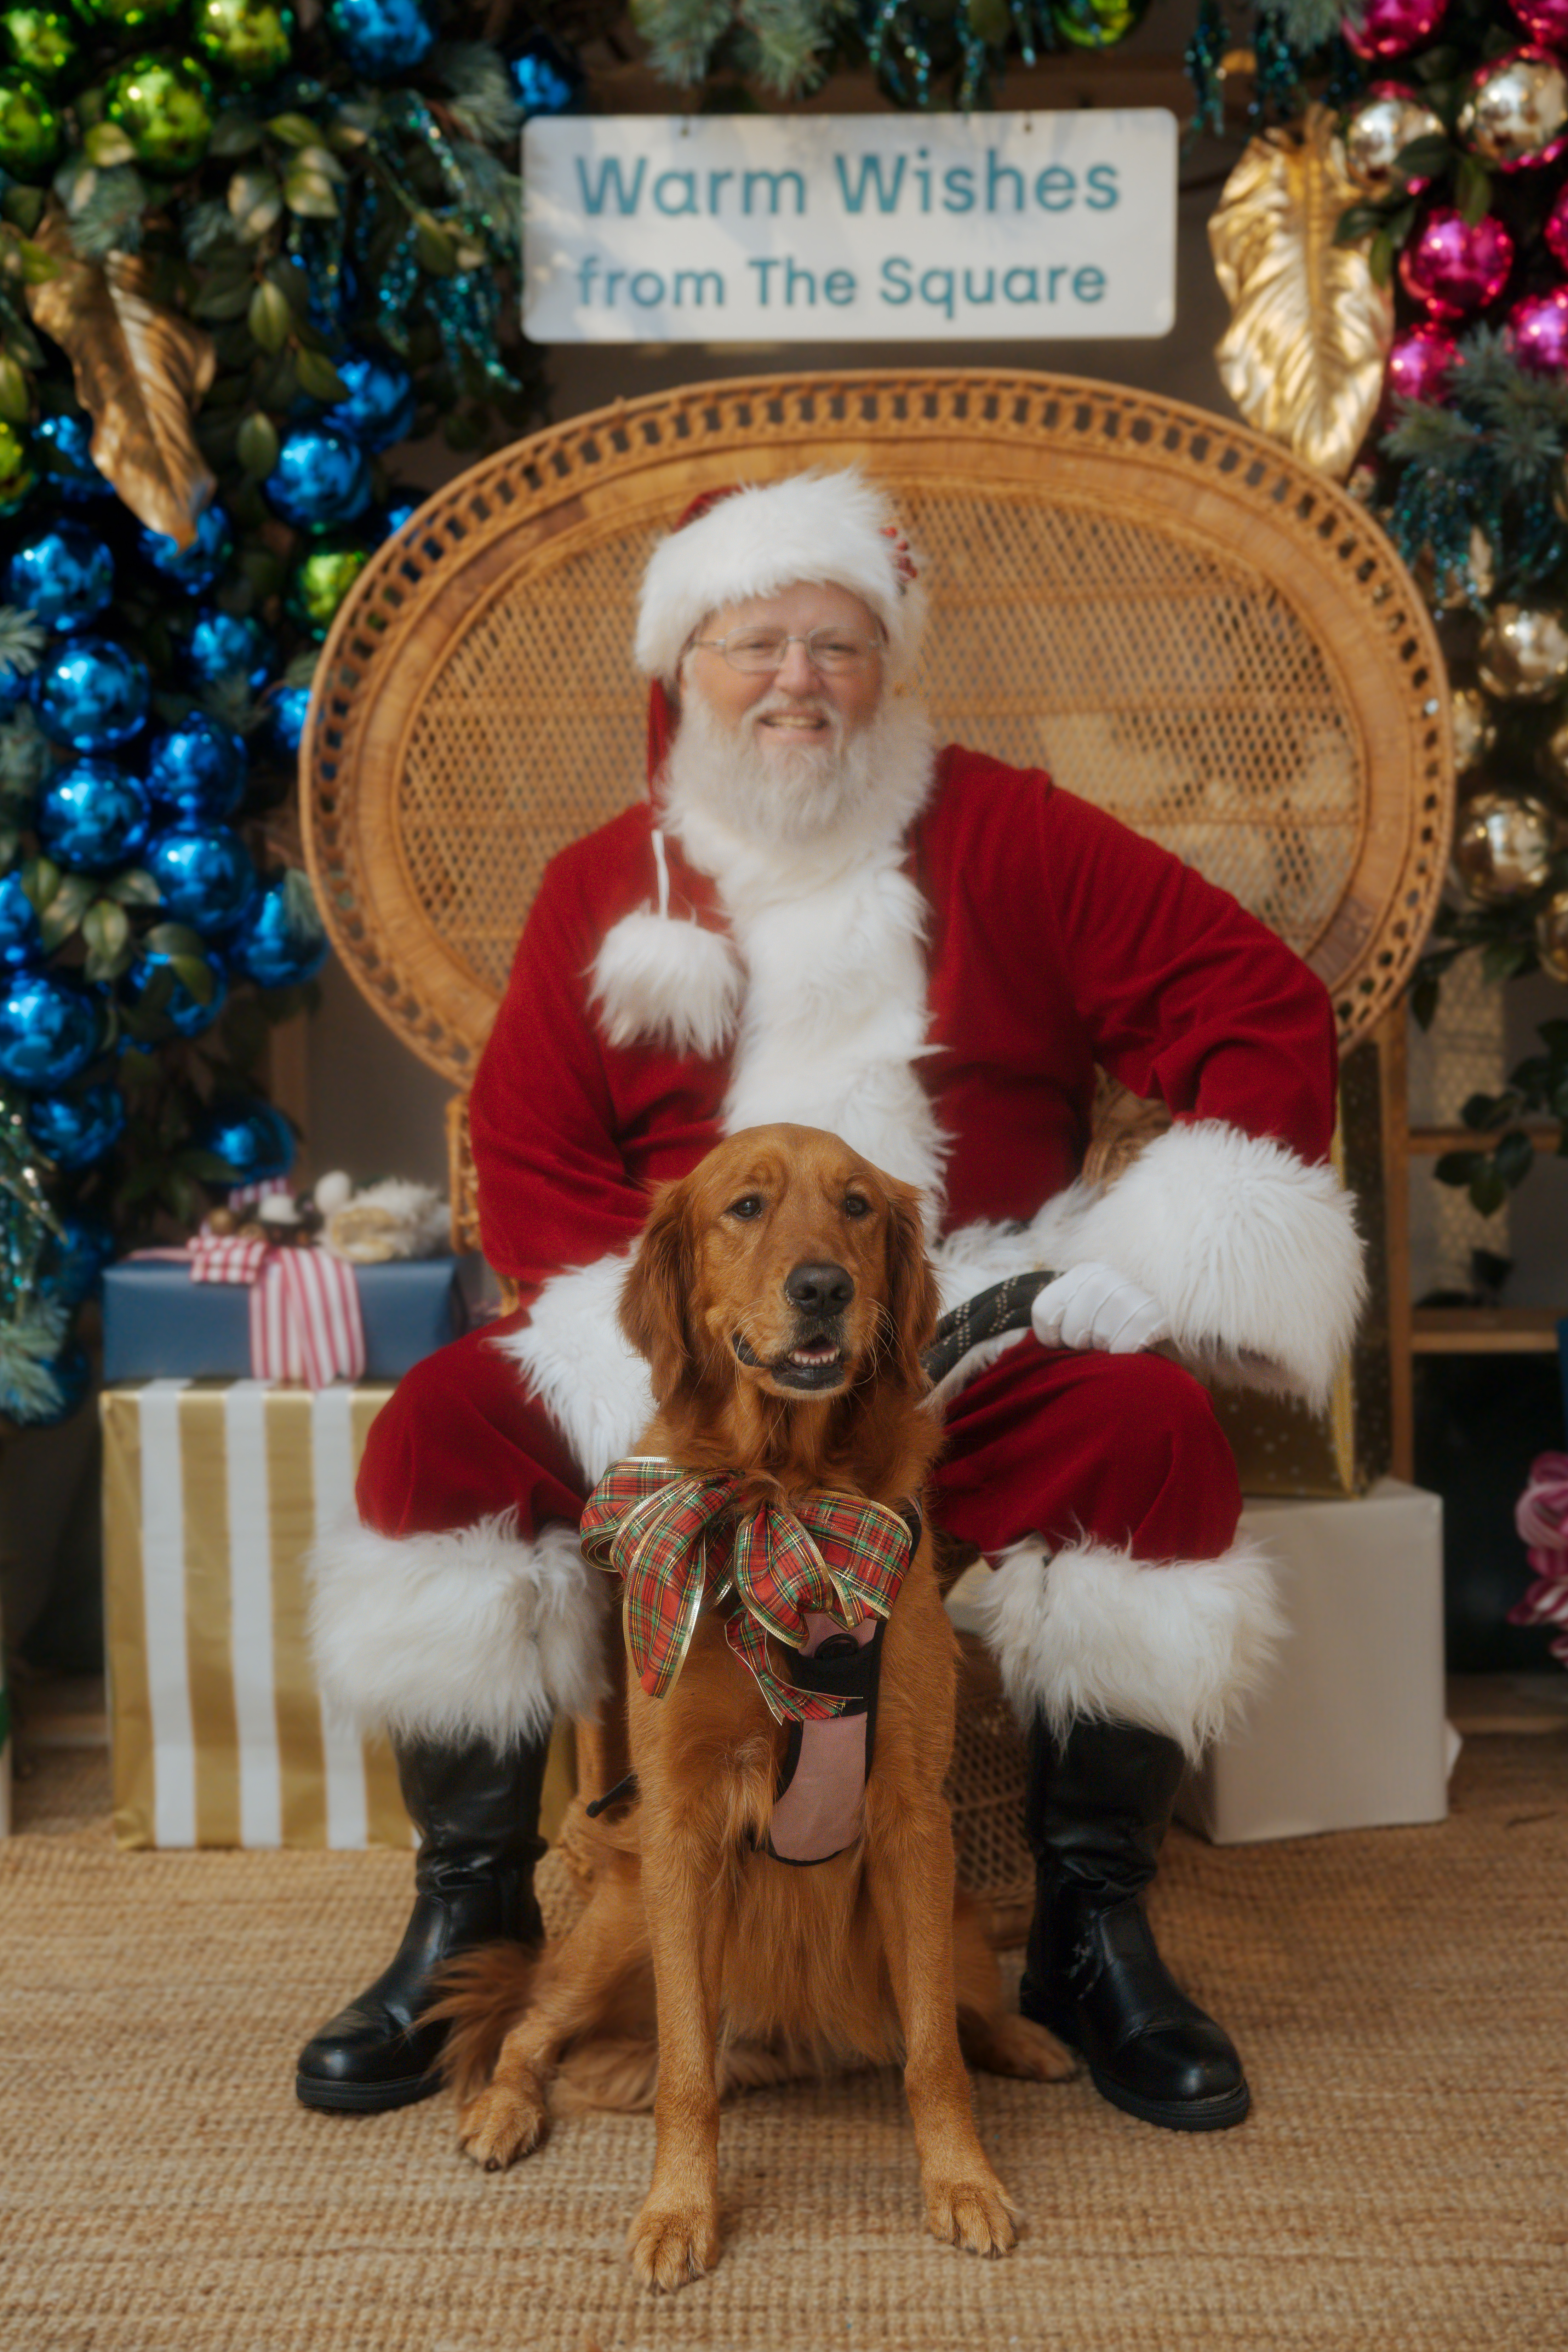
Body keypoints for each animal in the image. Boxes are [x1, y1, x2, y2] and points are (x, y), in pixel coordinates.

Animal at [442, 1129, 1081, 2286]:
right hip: (619, 1916)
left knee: (960, 2008)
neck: (785, 1497)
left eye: (858, 1206)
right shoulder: (683, 1823)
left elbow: (931, 2051)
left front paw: (962, 2181)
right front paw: (678, 2209)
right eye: (744, 1207)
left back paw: (1022, 2038)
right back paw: (505, 2110)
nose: (822, 1286)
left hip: (958, 1923)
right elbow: (686, 2066)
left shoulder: (910, 1819)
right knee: (532, 2024)